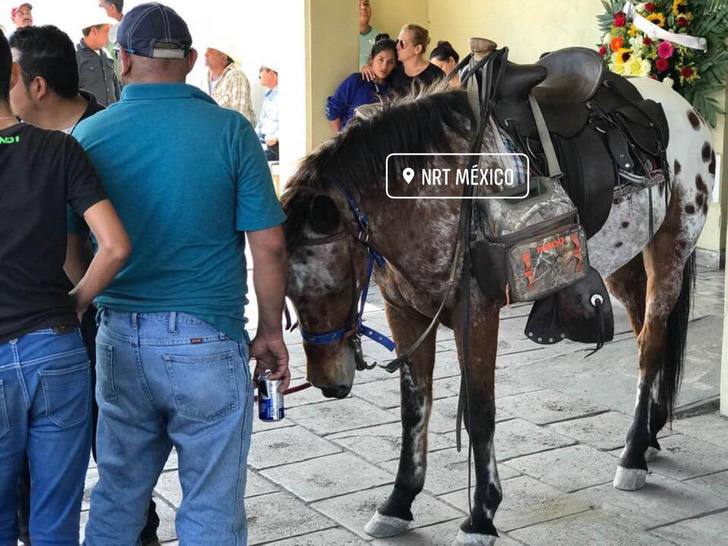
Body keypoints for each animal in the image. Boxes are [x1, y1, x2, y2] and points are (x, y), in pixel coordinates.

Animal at [282, 49, 712, 540]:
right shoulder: (404, 313)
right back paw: (650, 434)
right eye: (286, 295)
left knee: (651, 346)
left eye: (331, 284)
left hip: (671, 249)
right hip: (624, 259)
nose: (329, 383)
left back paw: (633, 456)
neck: (430, 187)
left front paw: (481, 515)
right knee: (645, 334)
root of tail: (686, 111)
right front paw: (398, 502)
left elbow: (480, 412)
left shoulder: (477, 314)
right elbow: (414, 409)